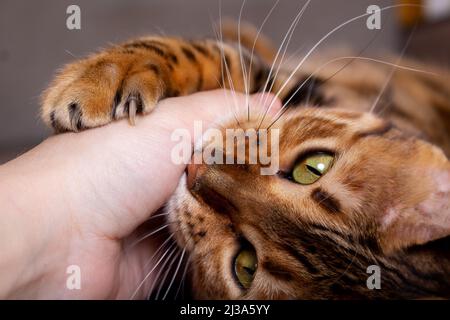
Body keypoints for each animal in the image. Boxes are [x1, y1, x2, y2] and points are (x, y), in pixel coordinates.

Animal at [40, 23, 448, 300]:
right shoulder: (287, 84)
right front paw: (103, 77)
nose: (198, 170)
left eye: (246, 267)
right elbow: (213, 55)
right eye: (313, 167)